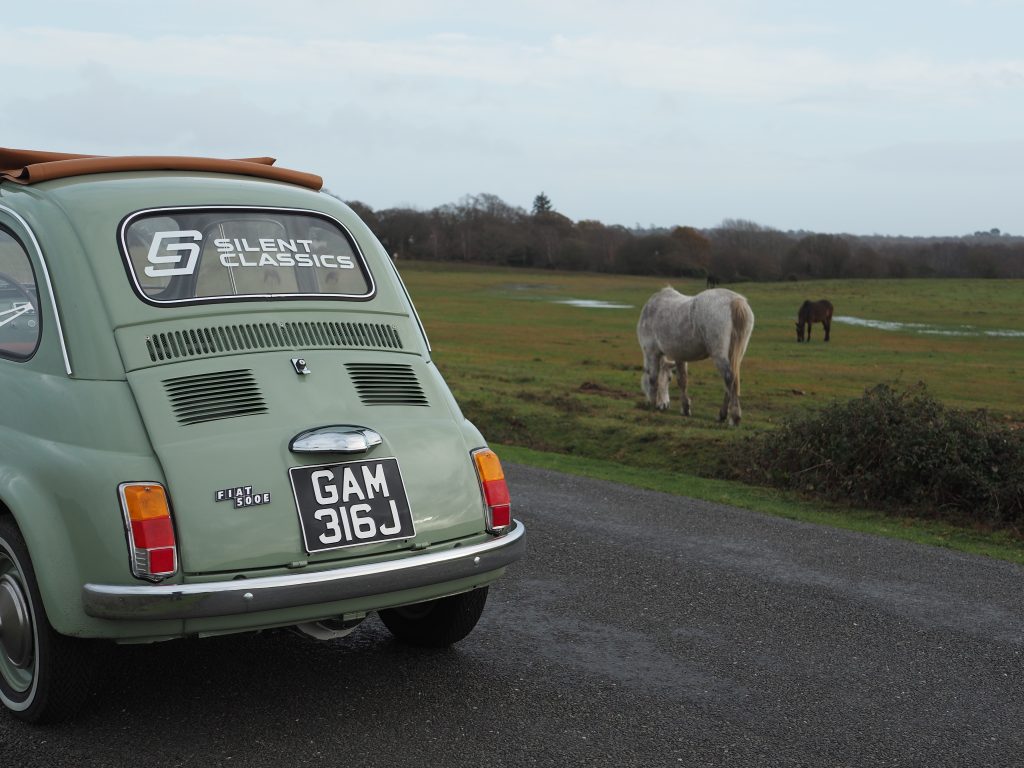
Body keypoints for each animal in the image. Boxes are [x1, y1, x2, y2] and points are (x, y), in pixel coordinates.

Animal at [634, 286, 757, 428]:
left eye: (669, 379)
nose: (664, 405)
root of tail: (735, 301)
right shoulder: (679, 356)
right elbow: (682, 380)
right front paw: (685, 408)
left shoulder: (652, 352)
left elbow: (653, 379)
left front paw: (653, 405)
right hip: (736, 353)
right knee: (732, 380)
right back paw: (723, 415)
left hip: (719, 355)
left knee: (729, 378)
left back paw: (733, 417)